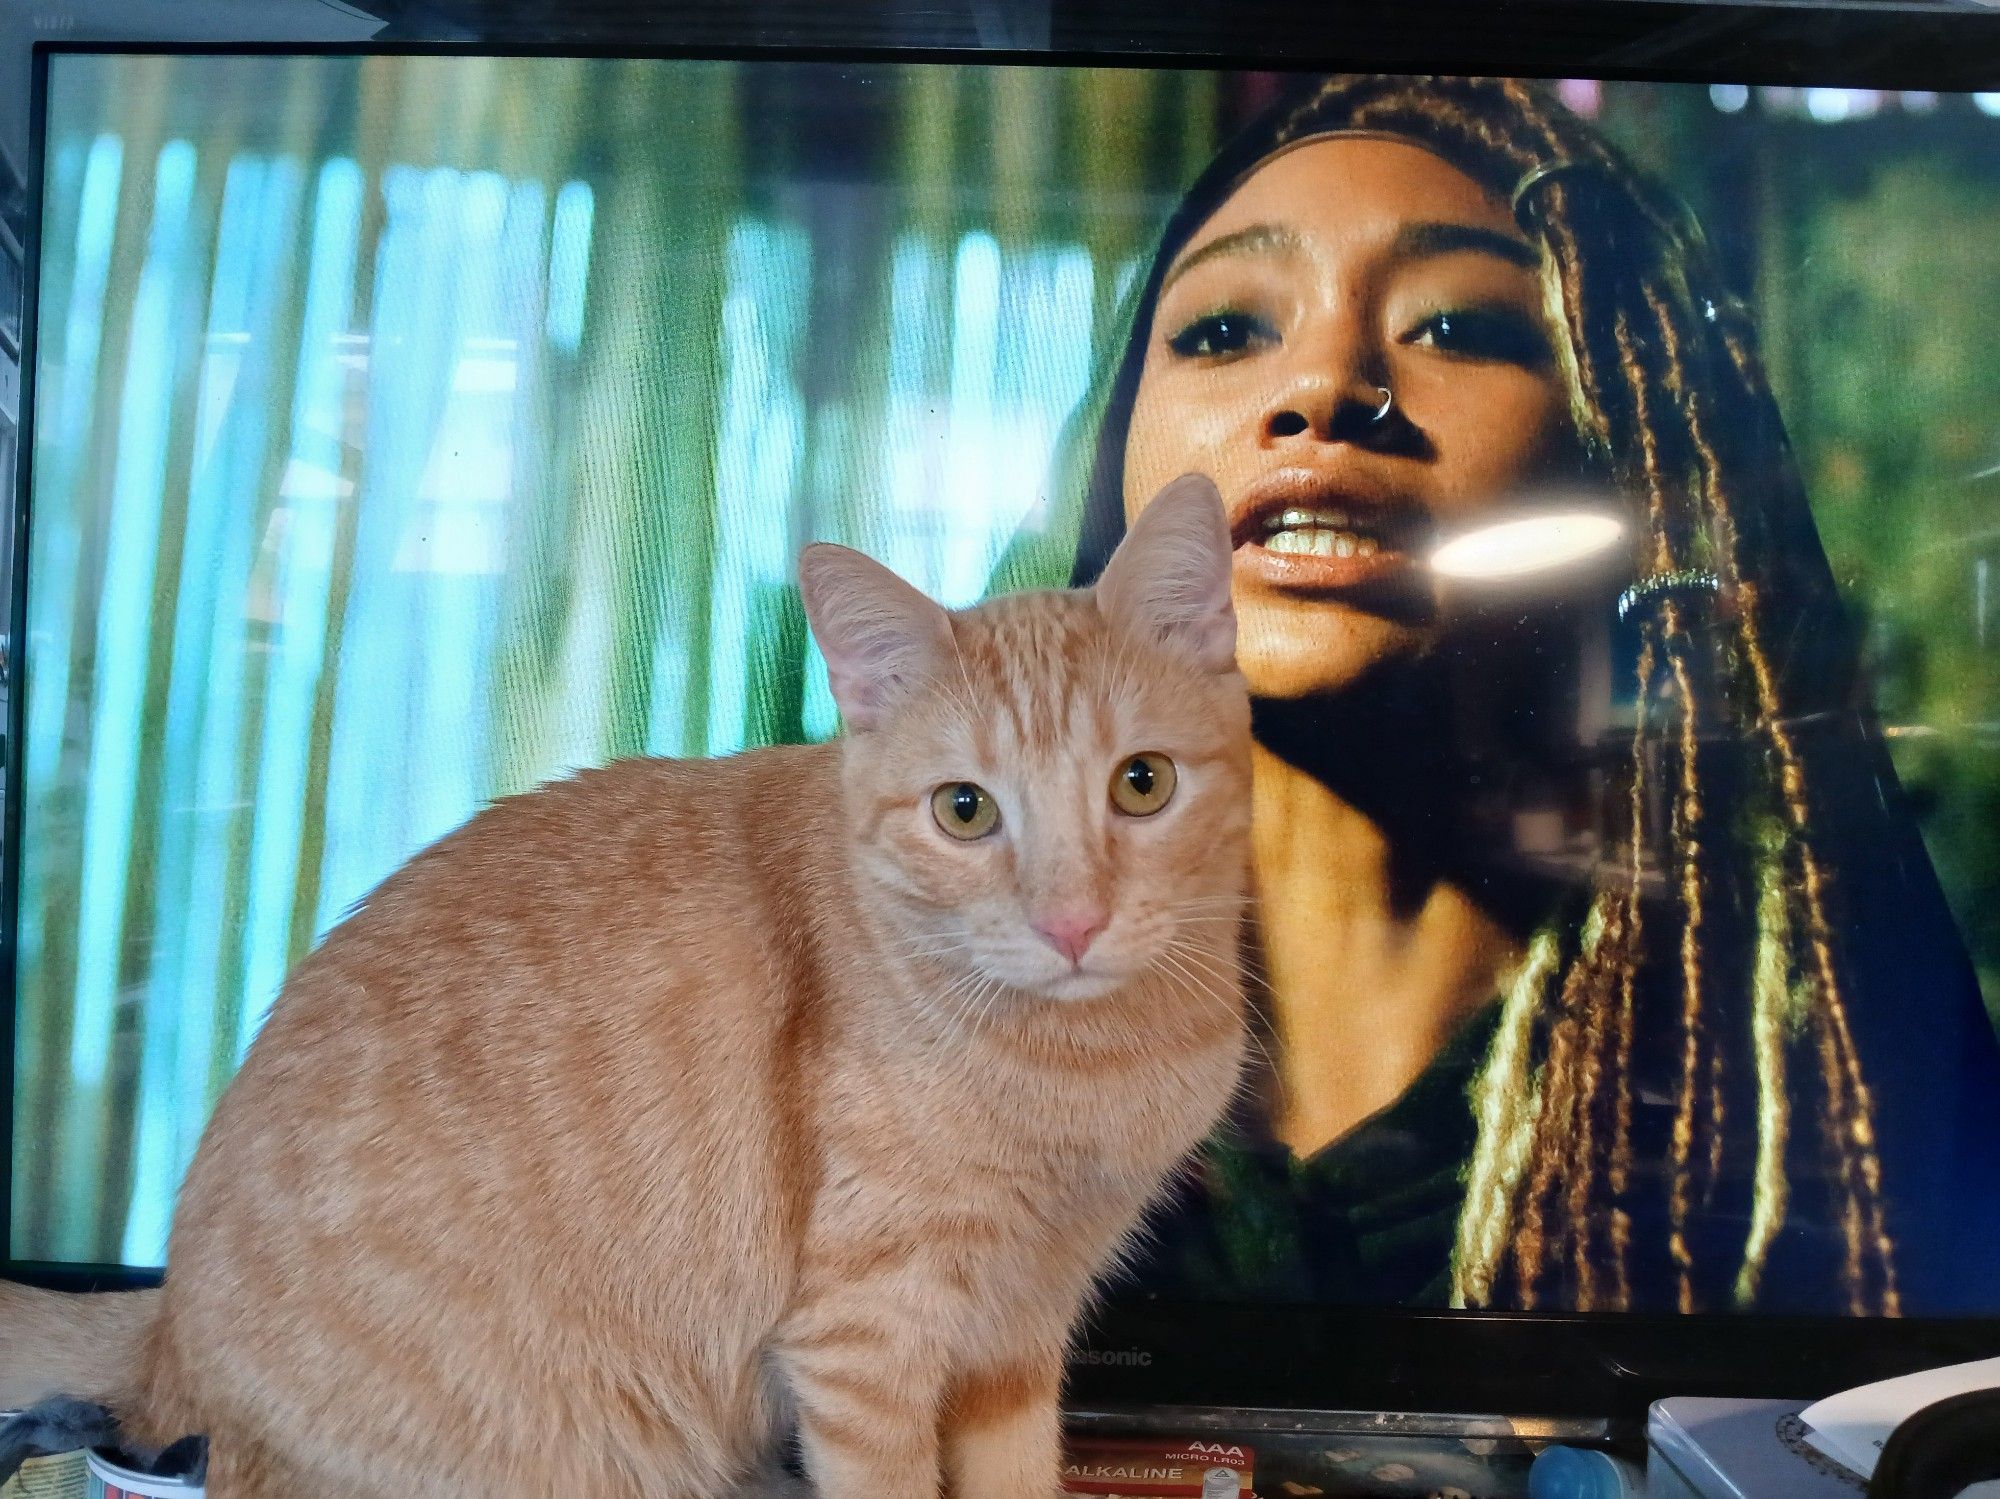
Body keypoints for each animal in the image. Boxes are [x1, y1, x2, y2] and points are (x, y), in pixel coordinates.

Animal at [0, 475, 1248, 1499]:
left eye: (1141, 784)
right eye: (964, 809)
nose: (1069, 920)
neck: (1090, 1063)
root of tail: (165, 1326)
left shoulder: (1017, 1337)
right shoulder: (865, 1338)